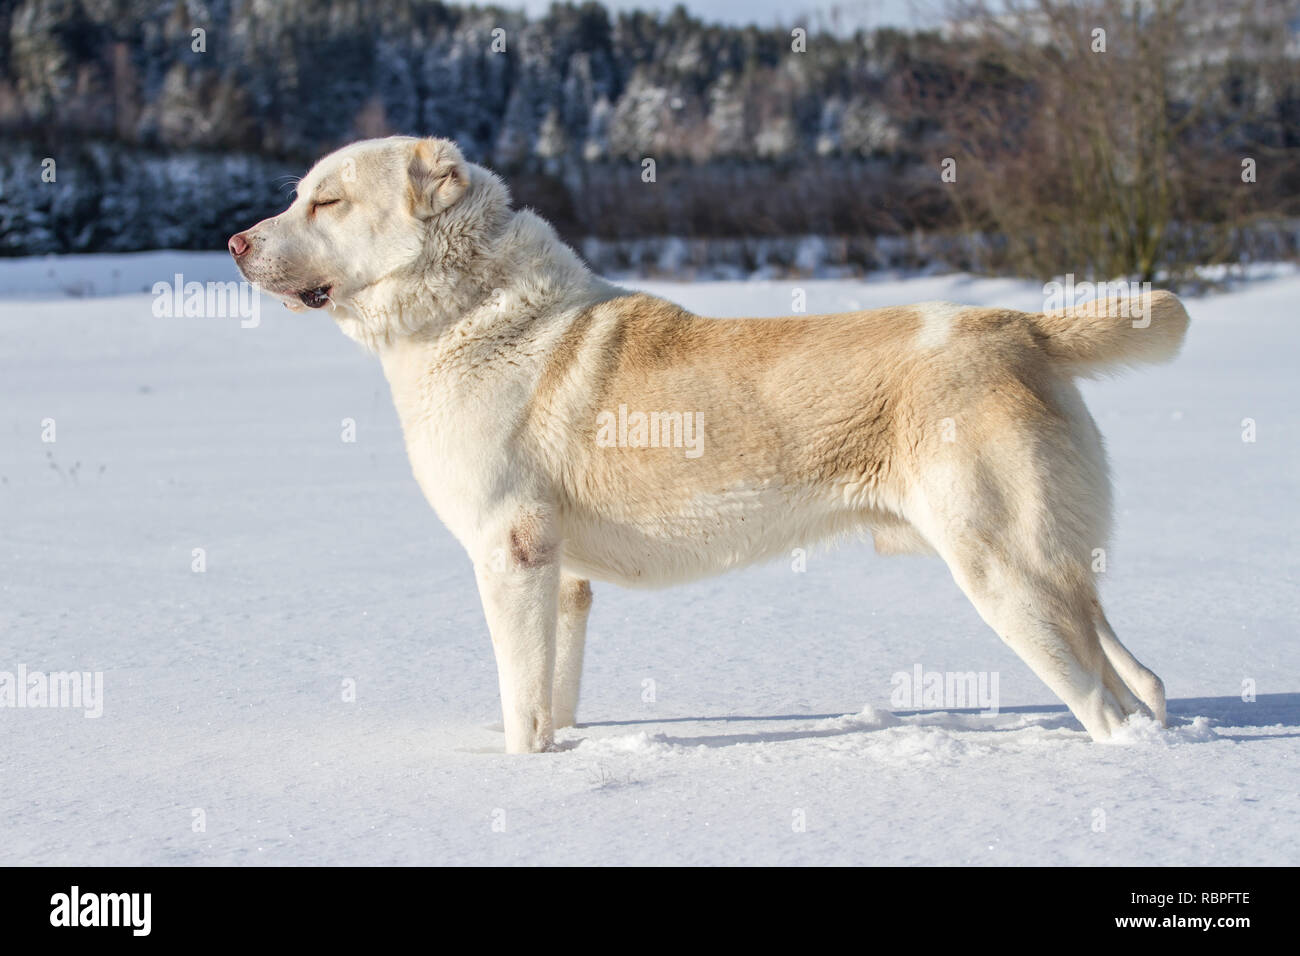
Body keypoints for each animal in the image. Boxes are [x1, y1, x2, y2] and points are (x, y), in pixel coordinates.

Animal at [231, 138, 1190, 759]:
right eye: (300, 192)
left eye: (326, 201)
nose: (235, 242)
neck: (469, 310)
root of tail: (1019, 324)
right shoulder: (563, 579)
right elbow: (552, 694)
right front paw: (561, 754)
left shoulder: (510, 555)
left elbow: (518, 701)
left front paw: (521, 779)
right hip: (1053, 566)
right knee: (1139, 679)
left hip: (1002, 572)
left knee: (1100, 703)